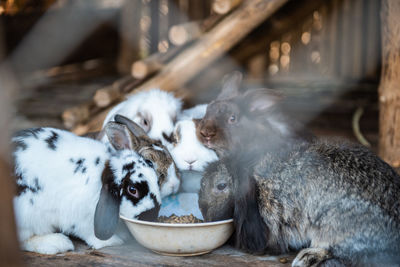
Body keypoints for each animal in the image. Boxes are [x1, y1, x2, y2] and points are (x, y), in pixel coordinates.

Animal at [13, 122, 162, 255]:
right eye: (132, 190)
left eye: (155, 177)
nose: (152, 216)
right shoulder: (80, 217)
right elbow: (90, 233)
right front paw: (112, 241)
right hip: (29, 216)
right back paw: (56, 243)